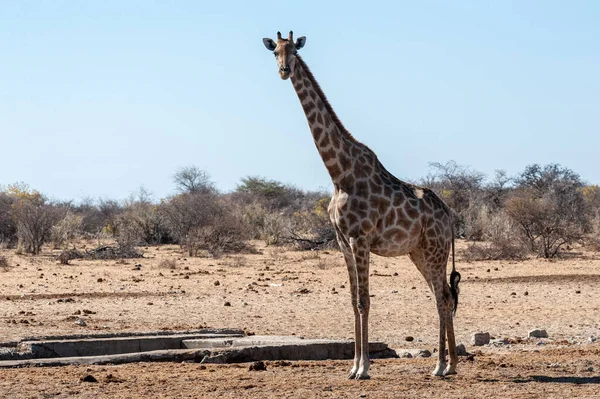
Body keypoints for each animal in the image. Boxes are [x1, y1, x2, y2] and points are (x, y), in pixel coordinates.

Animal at [260, 32, 462, 382]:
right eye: (275, 52)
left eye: (294, 51)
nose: (284, 70)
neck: (339, 173)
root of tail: (447, 214)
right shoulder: (342, 242)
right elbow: (353, 301)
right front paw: (353, 366)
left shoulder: (360, 239)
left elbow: (365, 301)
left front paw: (364, 368)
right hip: (419, 252)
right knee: (445, 297)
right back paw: (448, 365)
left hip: (435, 250)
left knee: (442, 297)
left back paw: (440, 365)